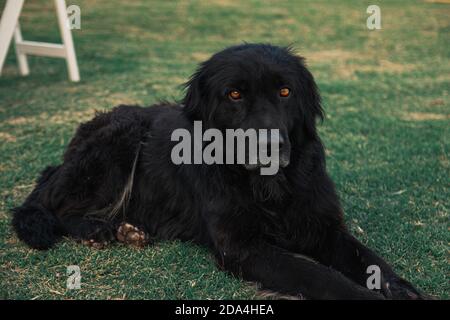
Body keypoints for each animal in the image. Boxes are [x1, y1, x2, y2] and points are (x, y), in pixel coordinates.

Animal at [9, 43, 426, 298]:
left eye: (285, 92)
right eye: (234, 94)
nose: (270, 146)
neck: (268, 187)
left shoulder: (322, 226)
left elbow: (369, 259)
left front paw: (400, 287)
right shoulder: (243, 247)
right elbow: (319, 276)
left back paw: (126, 229)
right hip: (120, 140)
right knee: (56, 206)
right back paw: (98, 230)